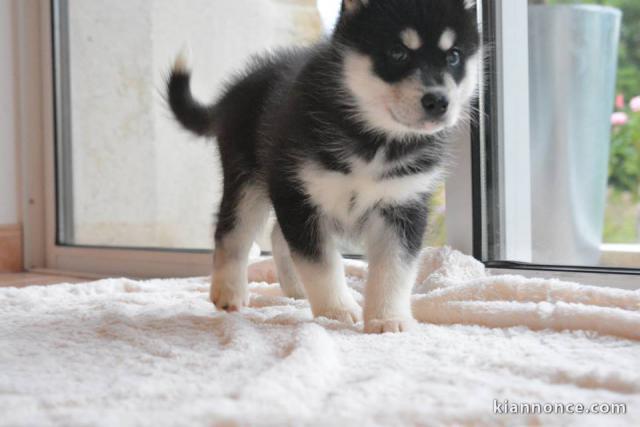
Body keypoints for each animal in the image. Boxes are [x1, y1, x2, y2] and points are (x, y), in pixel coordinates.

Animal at [169, 0, 480, 334]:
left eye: (454, 56)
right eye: (398, 52)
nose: (438, 101)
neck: (373, 140)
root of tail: (232, 92)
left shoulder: (403, 203)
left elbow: (394, 268)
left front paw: (387, 317)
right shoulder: (297, 193)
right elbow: (321, 262)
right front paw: (336, 311)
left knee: (277, 235)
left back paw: (295, 288)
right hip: (247, 180)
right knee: (232, 231)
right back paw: (229, 291)